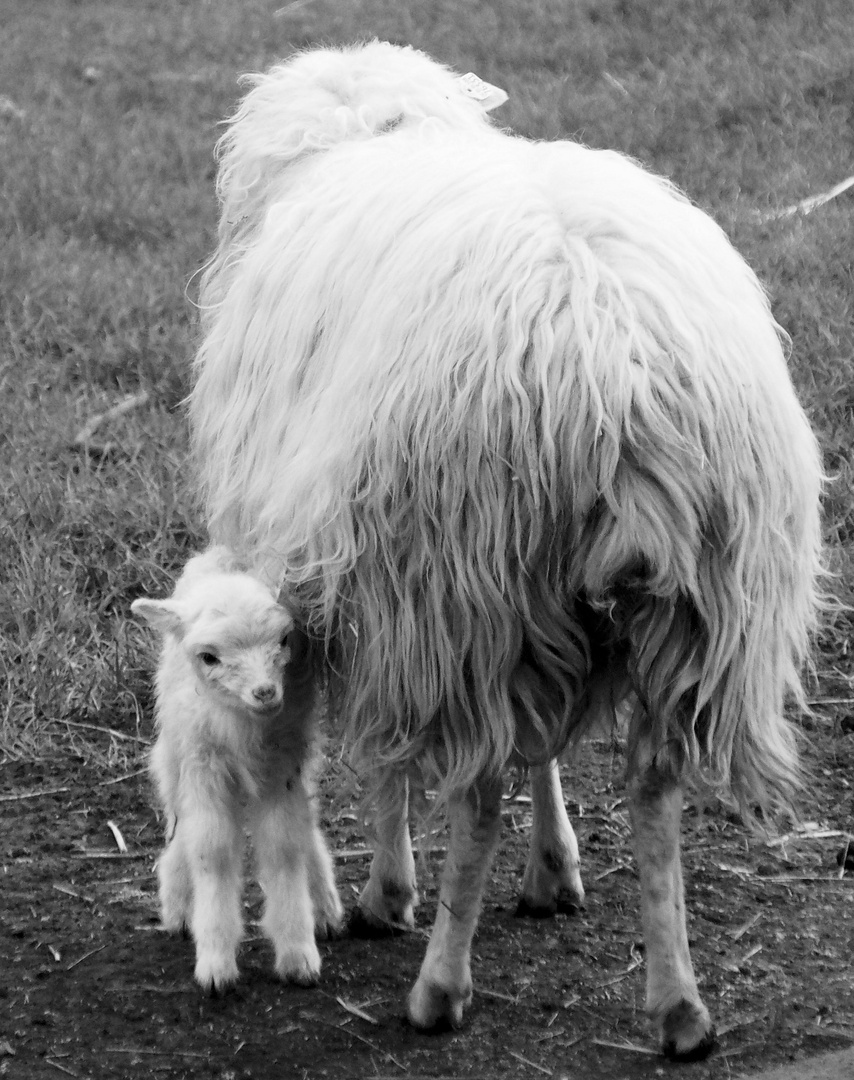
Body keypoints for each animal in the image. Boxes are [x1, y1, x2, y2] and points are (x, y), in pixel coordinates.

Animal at [131, 548, 343, 993]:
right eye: (209, 657)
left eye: (284, 640)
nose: (265, 692)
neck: (243, 728)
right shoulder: (203, 765)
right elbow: (211, 849)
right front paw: (215, 965)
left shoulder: (282, 767)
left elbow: (285, 844)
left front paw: (299, 954)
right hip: (174, 754)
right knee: (180, 821)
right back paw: (179, 907)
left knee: (307, 825)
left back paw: (324, 907)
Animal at [190, 44, 824, 1062]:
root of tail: (612, 360)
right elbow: (545, 748)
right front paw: (556, 870)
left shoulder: (365, 586)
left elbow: (388, 758)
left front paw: (390, 893)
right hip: (686, 601)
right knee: (654, 787)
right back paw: (679, 1006)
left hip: (462, 582)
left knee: (478, 793)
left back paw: (439, 986)